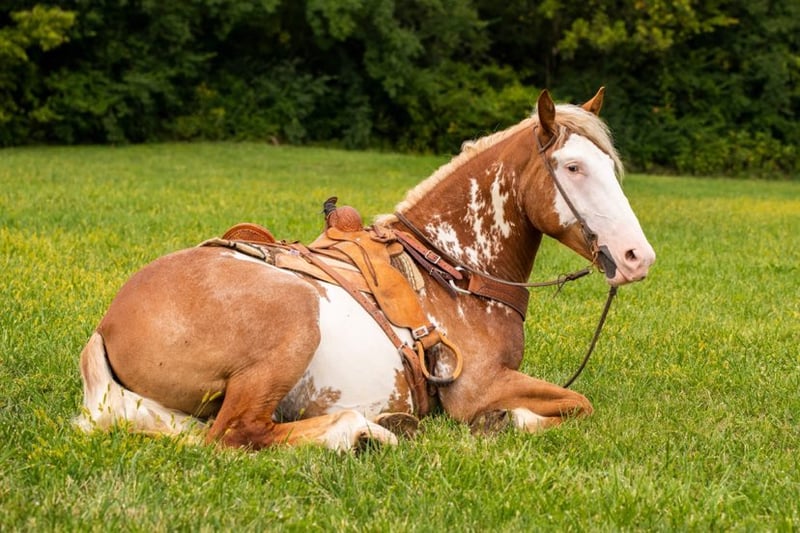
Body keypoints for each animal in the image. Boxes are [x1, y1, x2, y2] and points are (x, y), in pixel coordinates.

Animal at [75, 88, 655, 451]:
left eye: (611, 167)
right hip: (292, 321)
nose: (638, 257)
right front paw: (505, 420)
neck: (453, 269)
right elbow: (577, 404)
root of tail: (108, 327)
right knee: (234, 434)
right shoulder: (478, 387)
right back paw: (360, 433)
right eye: (573, 168)